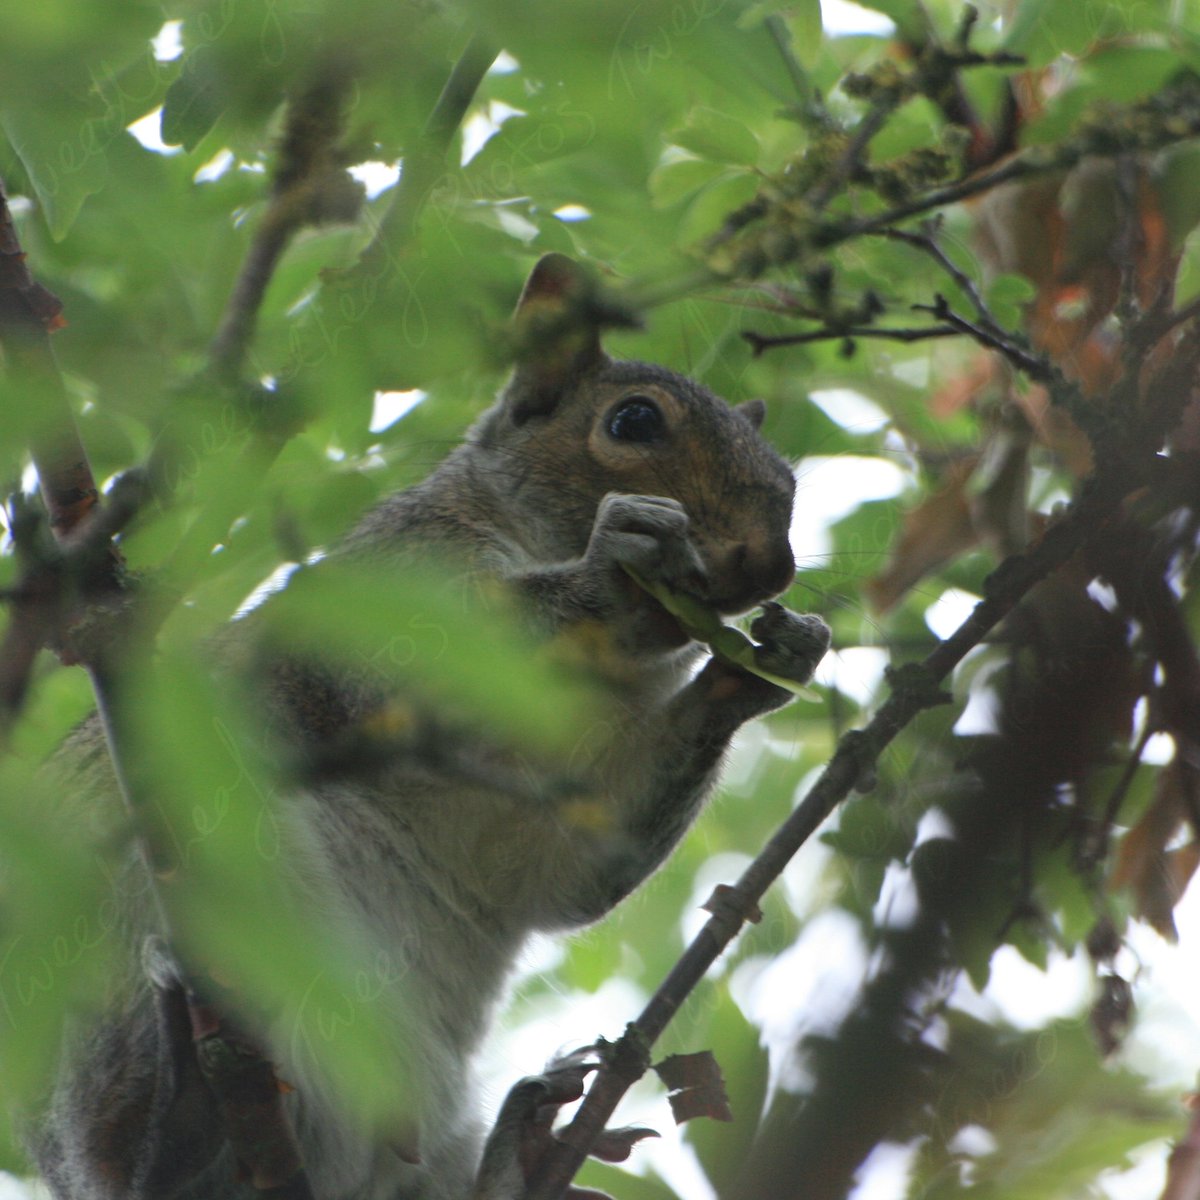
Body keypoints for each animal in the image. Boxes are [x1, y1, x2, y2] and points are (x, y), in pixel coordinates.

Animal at [28, 254, 830, 1200]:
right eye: (633, 421)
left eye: (789, 480)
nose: (768, 564)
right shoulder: (385, 590)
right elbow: (413, 667)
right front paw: (624, 564)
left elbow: (581, 857)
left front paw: (763, 665)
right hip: (121, 983)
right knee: (154, 1151)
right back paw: (187, 1106)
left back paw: (520, 1152)